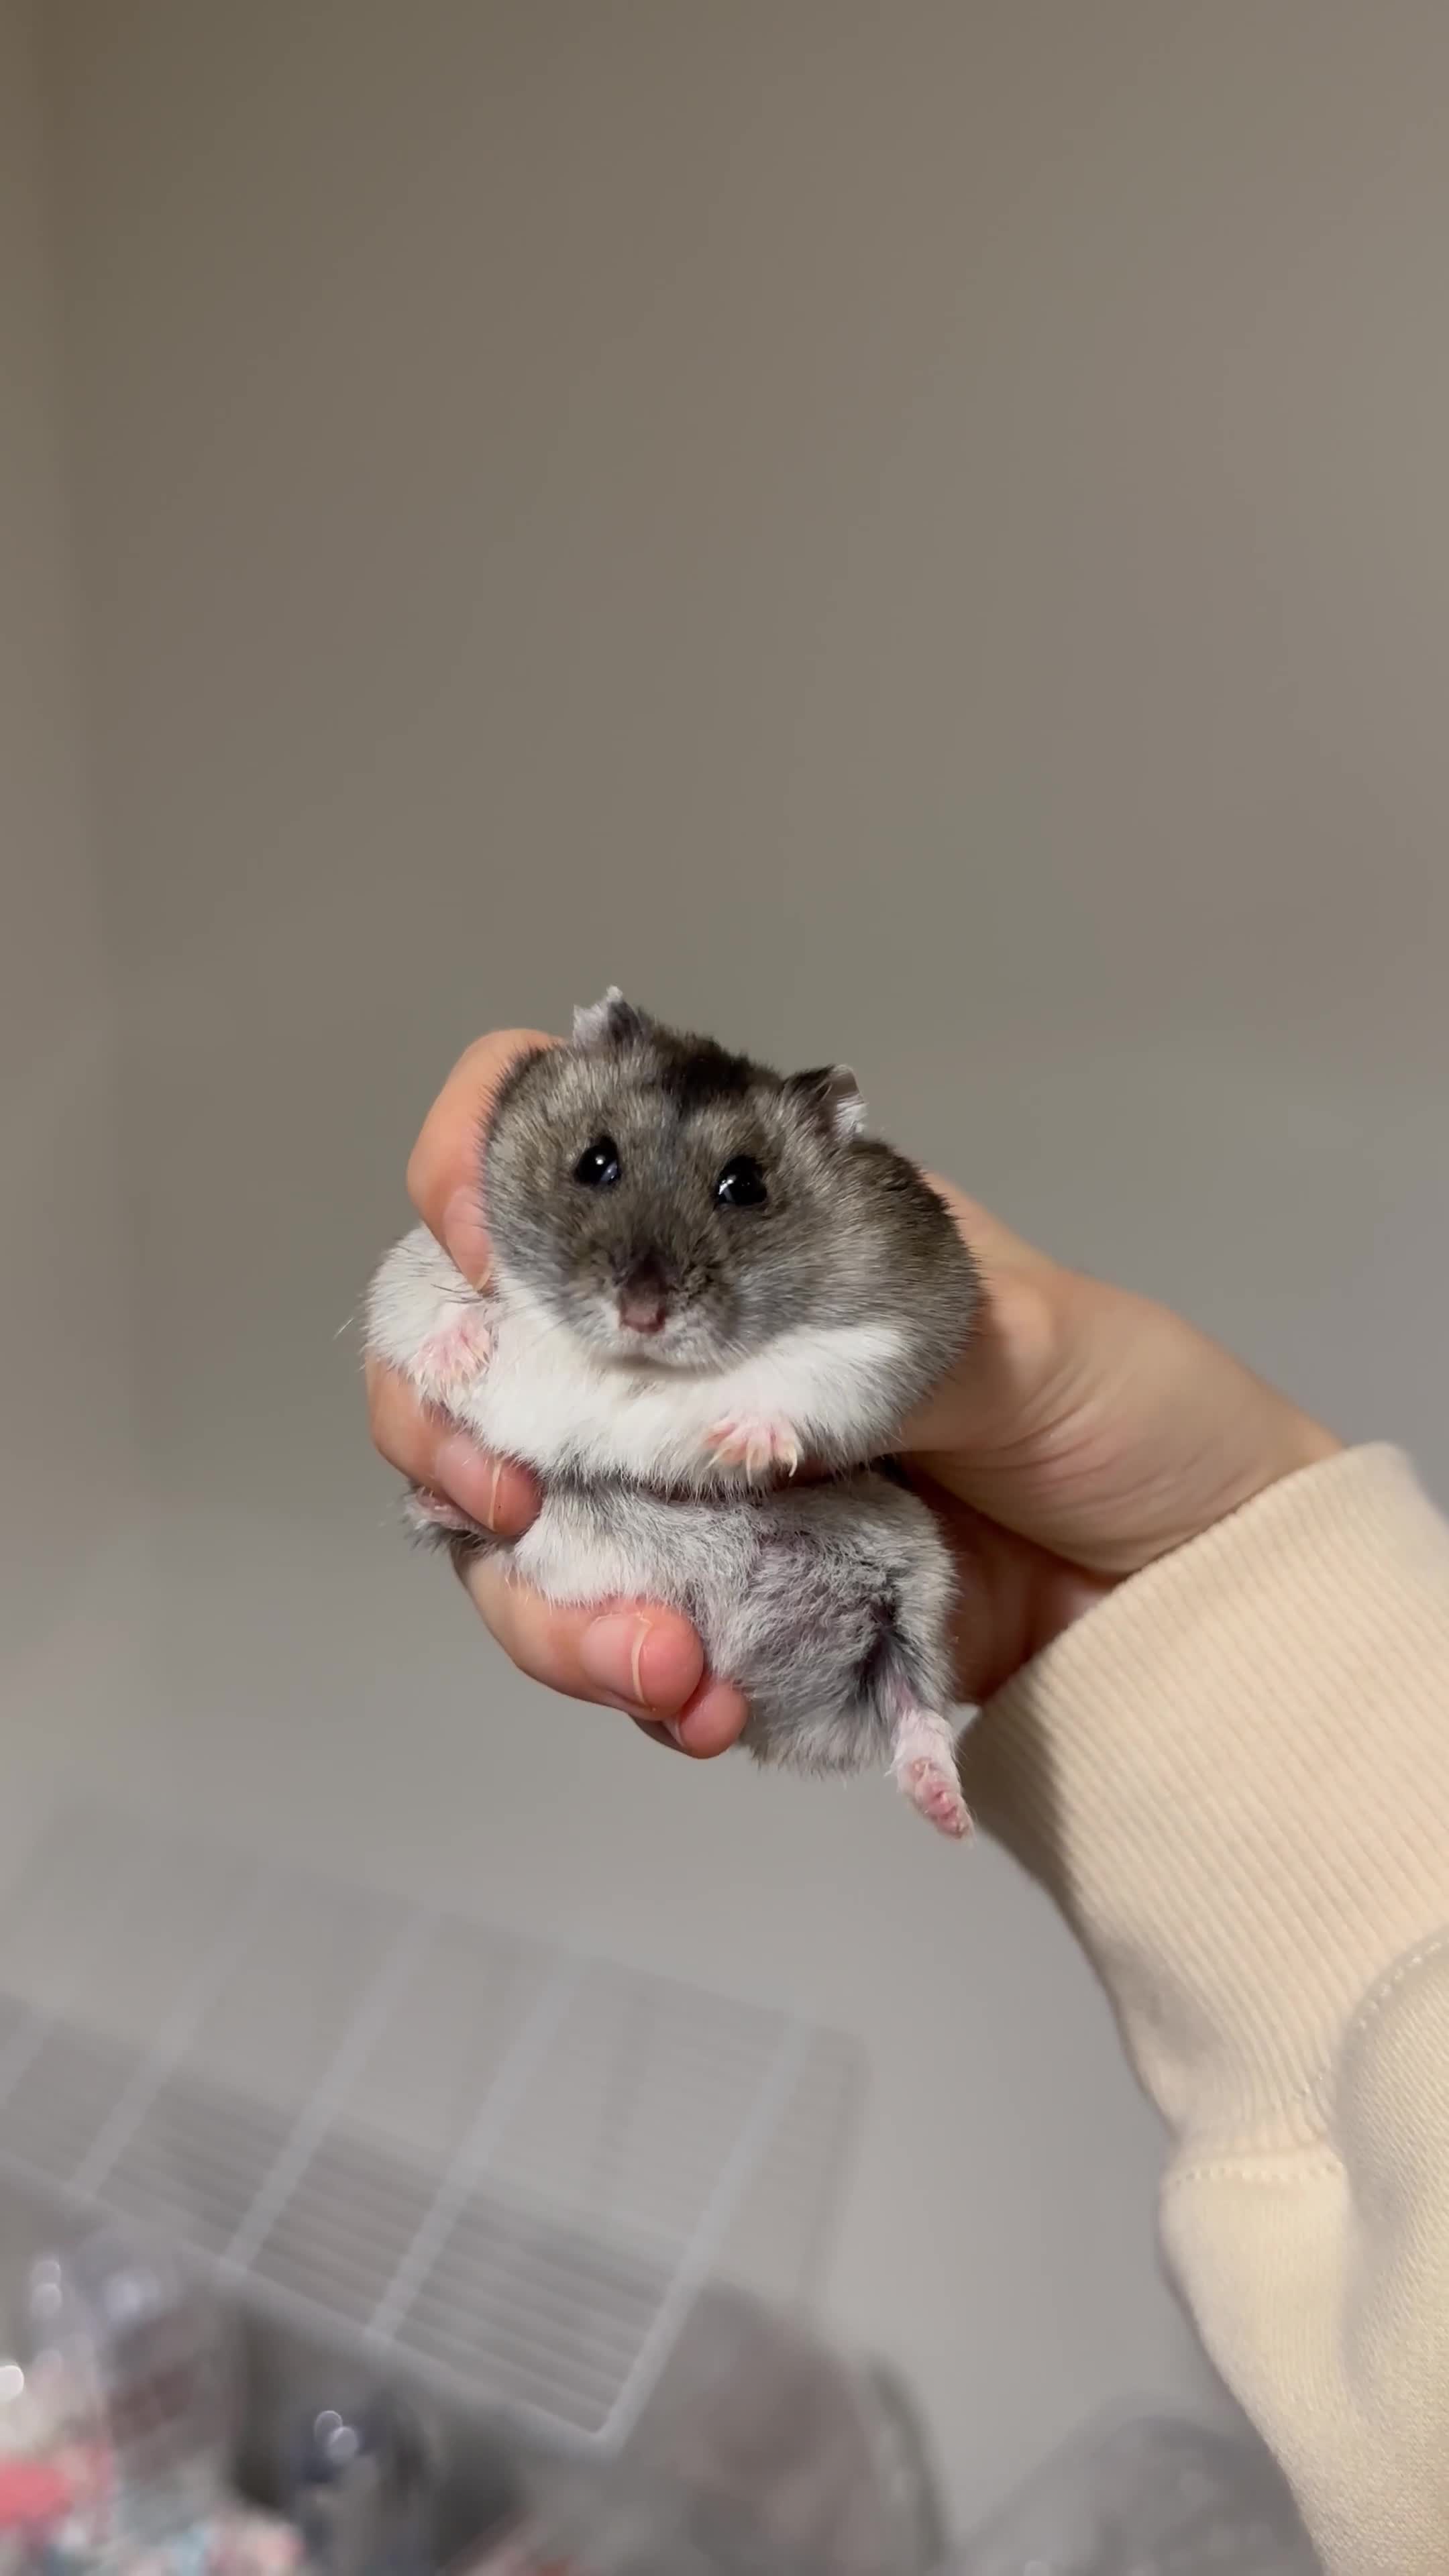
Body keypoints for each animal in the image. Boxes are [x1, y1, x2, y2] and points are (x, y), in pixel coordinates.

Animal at [365, 991, 980, 1837]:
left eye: (745, 1185)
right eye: (595, 1162)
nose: (642, 1311)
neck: (638, 1363)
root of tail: (781, 1724)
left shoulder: (889, 1331)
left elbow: (803, 1381)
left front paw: (742, 1441)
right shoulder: (417, 1267)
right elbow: (434, 1306)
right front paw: (451, 1361)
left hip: (912, 1580)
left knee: (912, 1701)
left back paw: (948, 1809)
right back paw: (441, 1505)